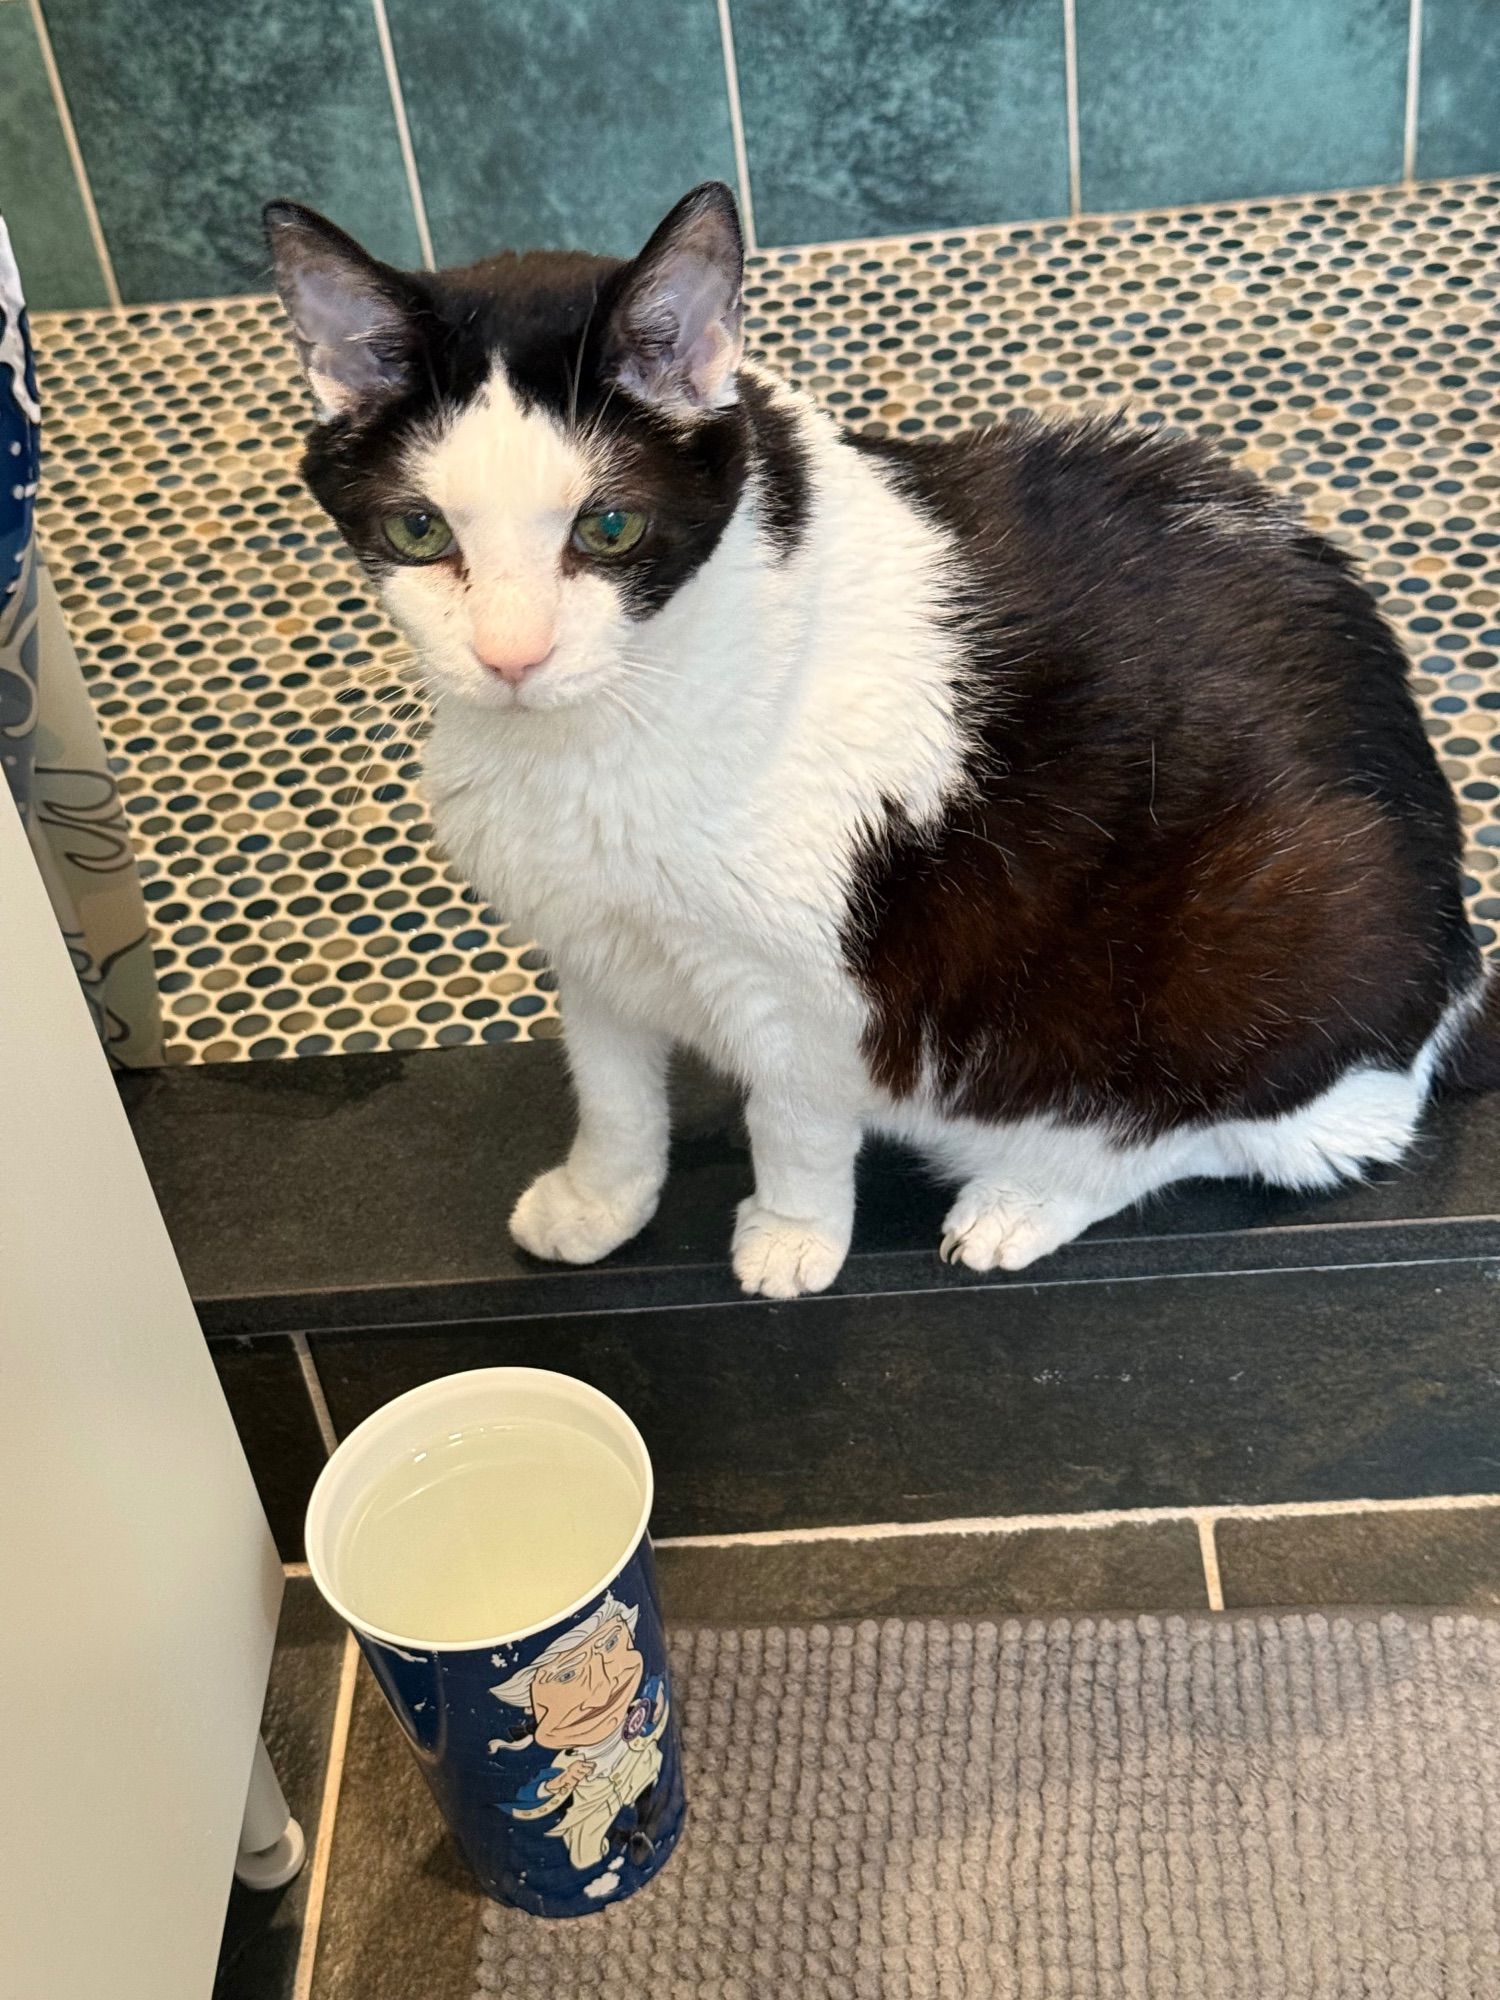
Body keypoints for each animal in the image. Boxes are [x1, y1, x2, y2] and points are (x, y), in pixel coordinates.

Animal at [264, 184, 1496, 1296]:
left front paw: (793, 1233)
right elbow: (611, 1091)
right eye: (418, 530)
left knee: (1242, 1129)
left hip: (1278, 924)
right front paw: (601, 1198)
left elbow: (794, 1114)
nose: (510, 655)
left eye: (608, 528)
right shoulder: (591, 946)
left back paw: (1023, 1197)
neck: (598, 734)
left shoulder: (811, 983)